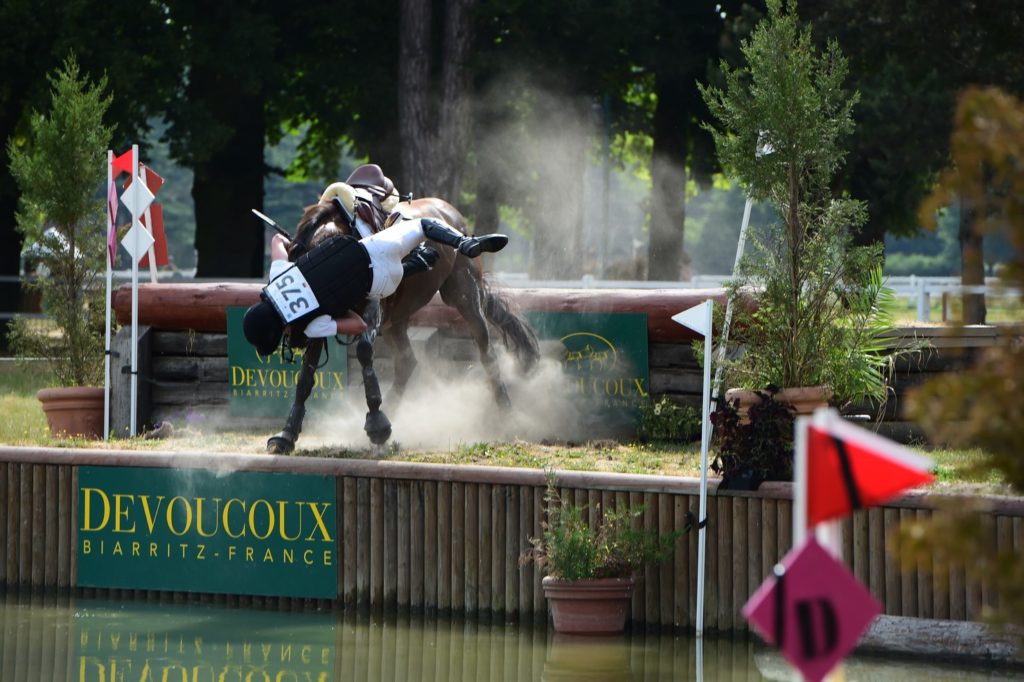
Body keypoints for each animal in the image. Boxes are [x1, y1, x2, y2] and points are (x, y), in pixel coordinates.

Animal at [264, 192, 540, 450]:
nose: (292, 339)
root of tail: (449, 210)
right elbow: (307, 375)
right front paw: (287, 434)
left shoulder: (371, 308)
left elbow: (364, 351)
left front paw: (376, 423)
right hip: (396, 319)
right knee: (407, 361)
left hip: (464, 294)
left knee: (486, 352)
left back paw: (507, 414)